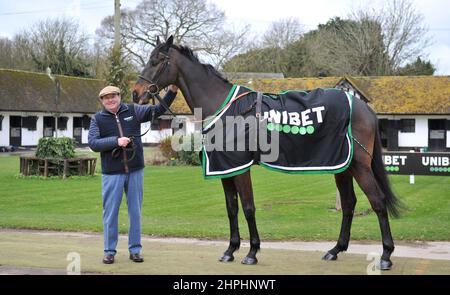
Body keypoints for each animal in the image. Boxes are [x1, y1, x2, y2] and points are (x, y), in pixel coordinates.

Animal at [132, 35, 402, 272]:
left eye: (157, 60)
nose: (136, 92)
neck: (225, 108)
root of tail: (363, 107)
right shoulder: (225, 169)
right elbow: (232, 208)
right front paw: (230, 250)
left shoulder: (240, 168)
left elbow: (248, 207)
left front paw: (252, 252)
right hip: (342, 166)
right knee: (348, 204)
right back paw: (335, 250)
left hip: (359, 165)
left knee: (378, 202)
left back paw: (386, 256)